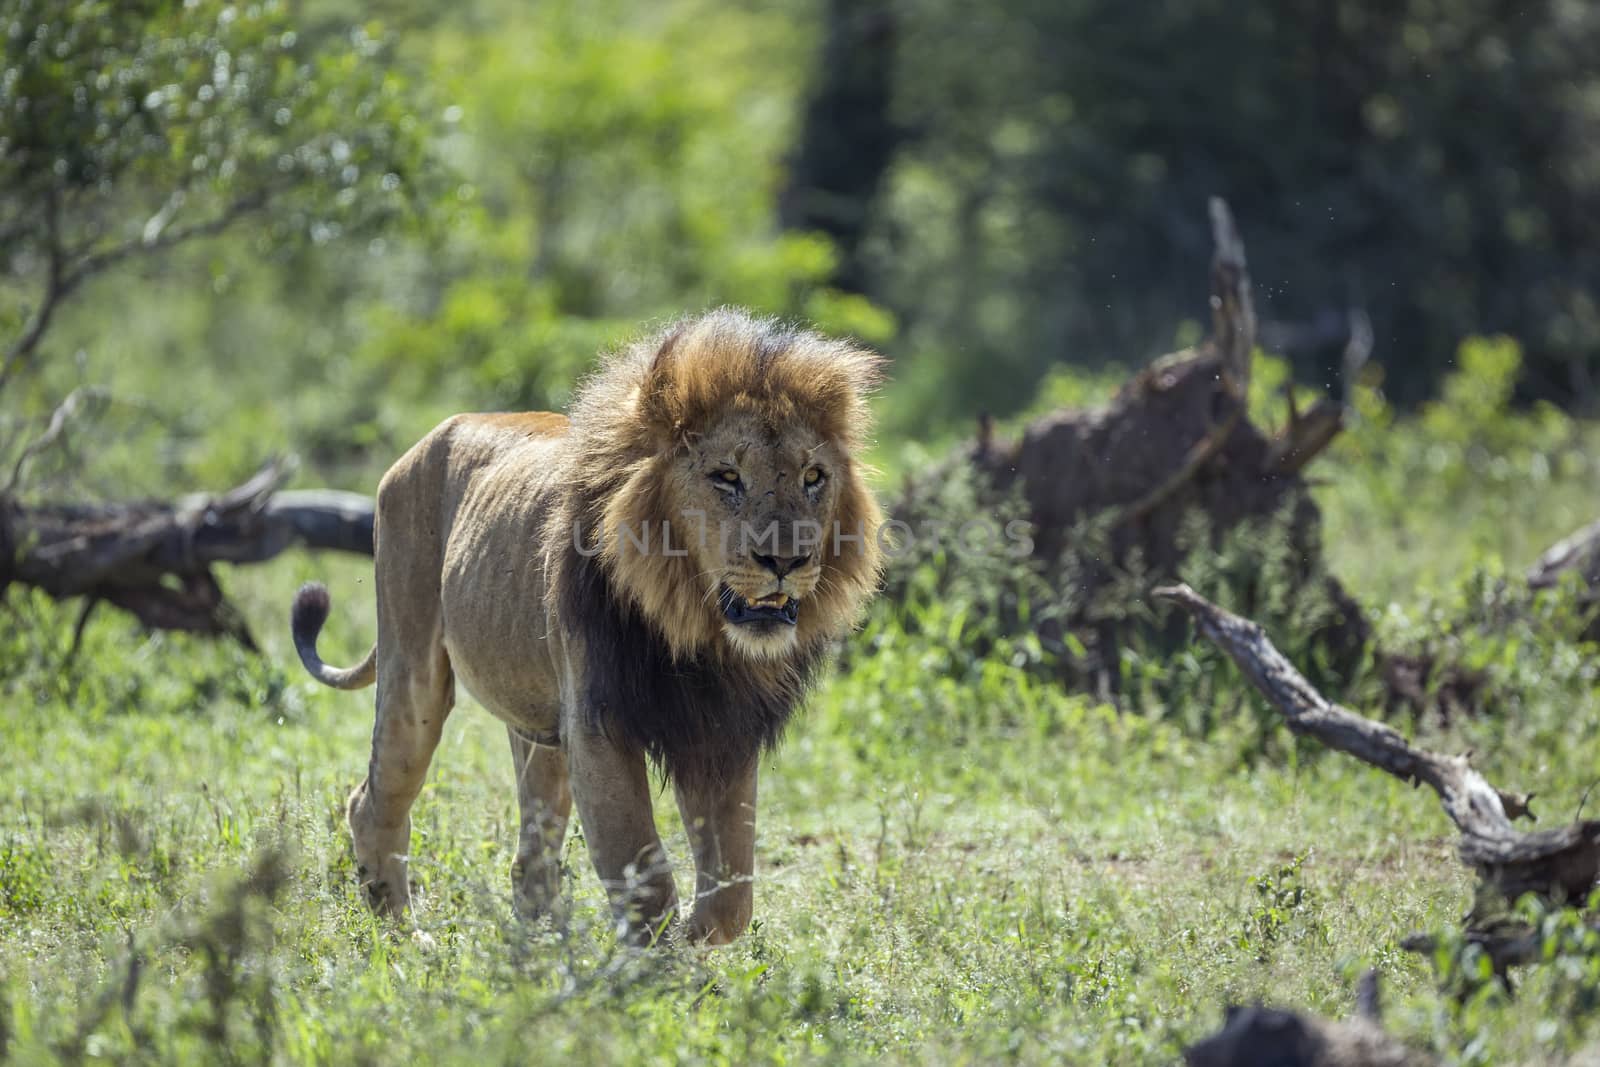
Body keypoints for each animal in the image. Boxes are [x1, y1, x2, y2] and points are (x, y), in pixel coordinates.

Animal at [291, 307, 889, 940]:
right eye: (727, 476)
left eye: (813, 477)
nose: (786, 560)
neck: (695, 632)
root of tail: (428, 437)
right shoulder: (600, 725)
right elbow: (646, 877)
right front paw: (655, 961)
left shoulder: (719, 730)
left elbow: (731, 895)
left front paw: (688, 942)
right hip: (413, 670)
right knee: (375, 800)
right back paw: (405, 935)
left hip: (538, 724)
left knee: (531, 853)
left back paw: (541, 946)